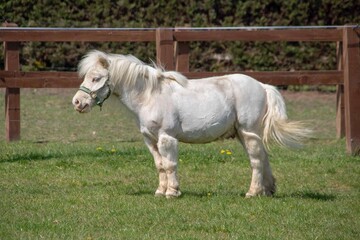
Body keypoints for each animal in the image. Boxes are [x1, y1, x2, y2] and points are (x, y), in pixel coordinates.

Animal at [73, 50, 310, 199]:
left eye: (96, 78)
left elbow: (170, 165)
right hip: (245, 135)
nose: (77, 102)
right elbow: (160, 165)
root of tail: (262, 86)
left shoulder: (167, 138)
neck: (150, 96)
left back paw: (252, 193)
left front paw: (172, 192)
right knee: (264, 158)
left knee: (257, 161)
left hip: (249, 132)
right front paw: (160, 191)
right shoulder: (150, 139)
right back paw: (267, 191)